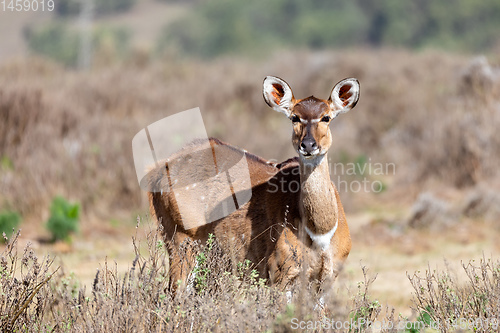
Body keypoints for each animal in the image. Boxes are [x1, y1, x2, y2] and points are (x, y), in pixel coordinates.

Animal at [147, 76, 360, 294]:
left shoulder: (325, 280)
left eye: (326, 117)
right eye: (294, 117)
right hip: (180, 240)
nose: (308, 145)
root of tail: (157, 170)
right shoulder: (279, 274)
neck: (320, 233)